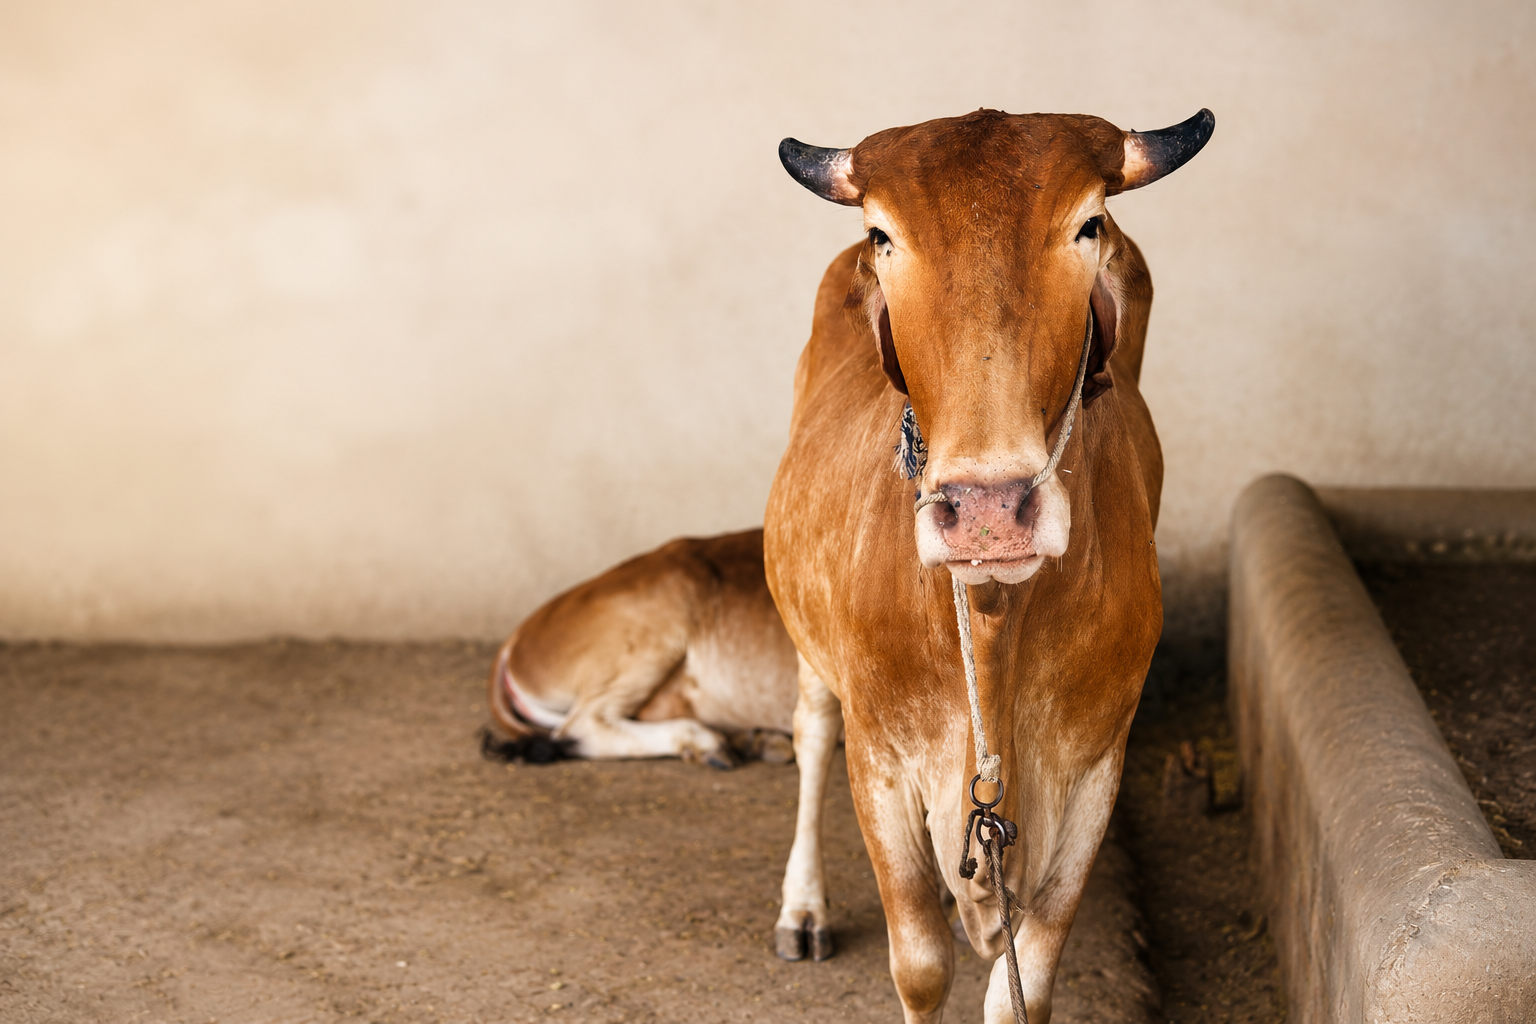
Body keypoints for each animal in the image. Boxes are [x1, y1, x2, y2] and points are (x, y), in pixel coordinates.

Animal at [766, 108, 1213, 1023]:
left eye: (1089, 225)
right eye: (882, 235)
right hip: (812, 645)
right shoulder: (882, 760)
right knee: (811, 731)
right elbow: (920, 965)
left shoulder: (1096, 770)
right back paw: (803, 908)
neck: (992, 618)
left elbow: (1023, 990)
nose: (986, 508)